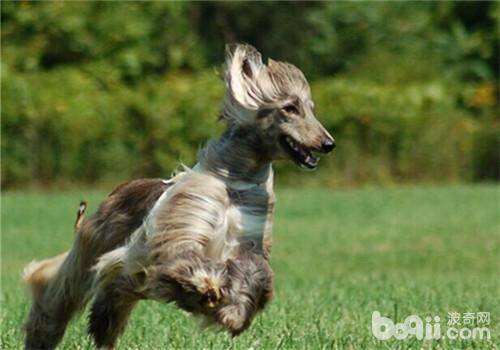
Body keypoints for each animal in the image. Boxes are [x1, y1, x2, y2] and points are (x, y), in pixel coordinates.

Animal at [24, 44, 336, 350]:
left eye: (310, 109)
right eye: (290, 108)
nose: (328, 143)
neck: (235, 184)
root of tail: (119, 189)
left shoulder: (249, 239)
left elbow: (253, 274)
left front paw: (232, 313)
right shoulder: (182, 228)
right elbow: (184, 257)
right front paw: (207, 287)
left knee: (114, 293)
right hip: (93, 246)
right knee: (56, 290)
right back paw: (40, 335)